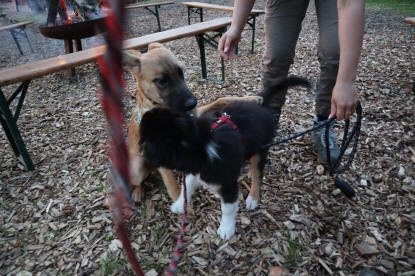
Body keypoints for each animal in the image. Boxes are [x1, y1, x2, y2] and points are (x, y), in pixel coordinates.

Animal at [122, 43, 264, 203]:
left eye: (181, 72)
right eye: (162, 81)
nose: (192, 103)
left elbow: (220, 100)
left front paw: (251, 99)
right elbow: (173, 187)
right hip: (137, 169)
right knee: (137, 181)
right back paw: (137, 191)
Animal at [141, 76, 312, 238]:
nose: (145, 114)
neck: (201, 144)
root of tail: (261, 104)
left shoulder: (228, 184)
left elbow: (228, 208)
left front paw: (226, 229)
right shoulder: (196, 170)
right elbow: (187, 184)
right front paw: (178, 204)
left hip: (261, 148)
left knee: (257, 174)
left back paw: (253, 198)